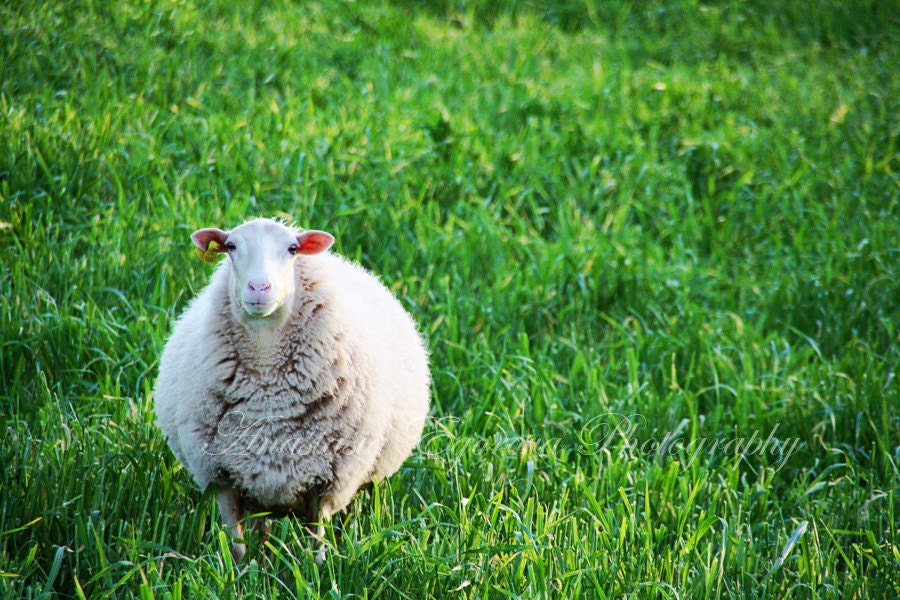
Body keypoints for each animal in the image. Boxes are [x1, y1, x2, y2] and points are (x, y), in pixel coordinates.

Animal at [153, 217, 430, 561]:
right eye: (231, 246)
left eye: (292, 248)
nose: (259, 288)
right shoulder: (221, 477)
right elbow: (236, 544)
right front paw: (241, 569)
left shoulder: (327, 480)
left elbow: (318, 542)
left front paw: (319, 568)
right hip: (258, 488)